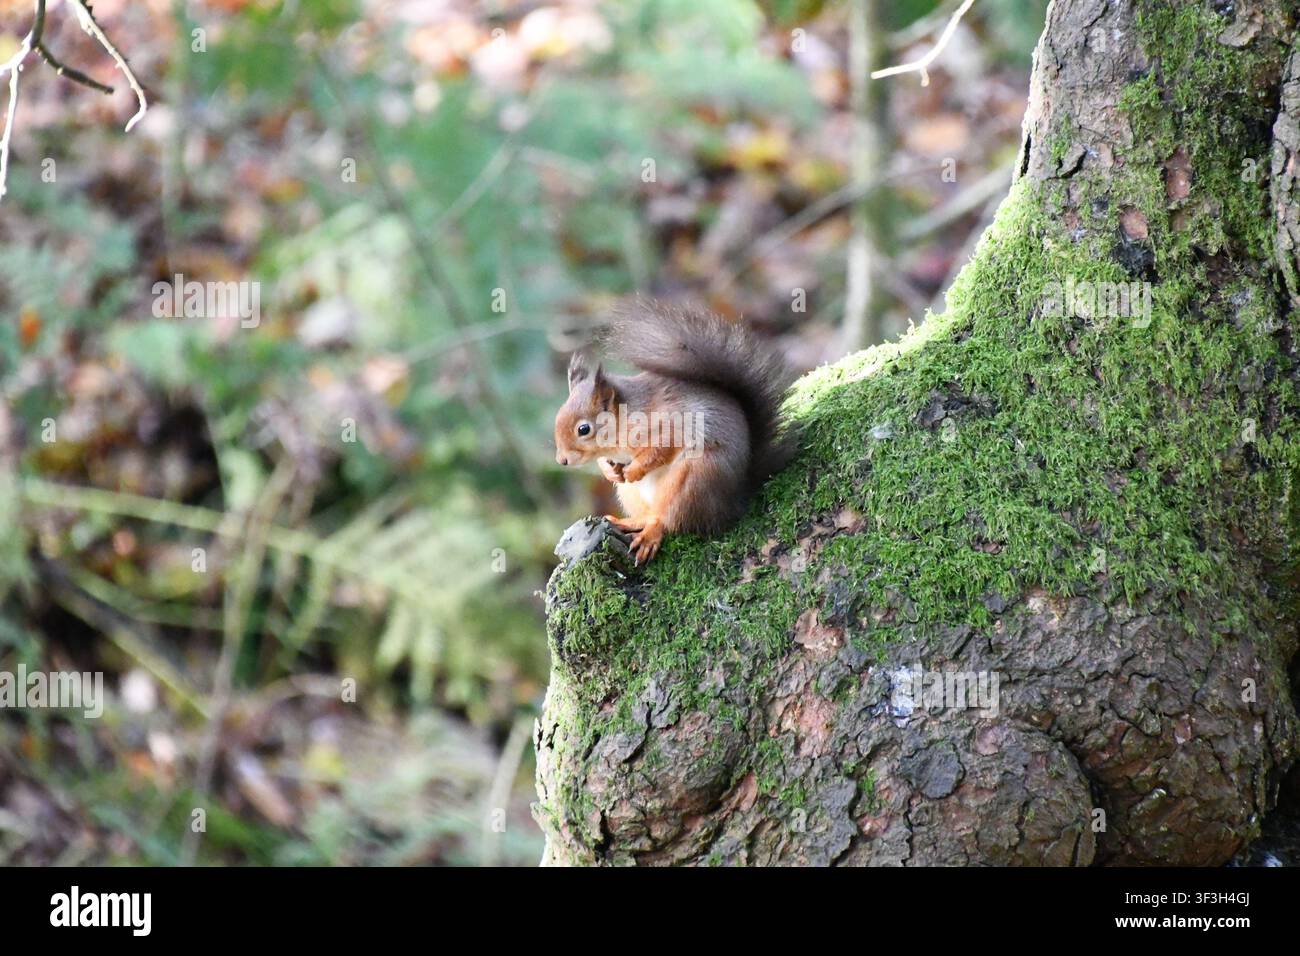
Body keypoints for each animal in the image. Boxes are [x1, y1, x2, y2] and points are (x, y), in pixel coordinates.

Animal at [554, 302, 798, 564]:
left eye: (584, 429)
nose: (562, 460)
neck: (624, 420)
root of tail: (735, 498)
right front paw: (610, 471)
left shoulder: (669, 425)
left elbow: (661, 449)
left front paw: (633, 470)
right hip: (633, 494)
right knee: (650, 514)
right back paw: (629, 520)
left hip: (693, 481)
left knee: (667, 520)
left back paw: (649, 535)